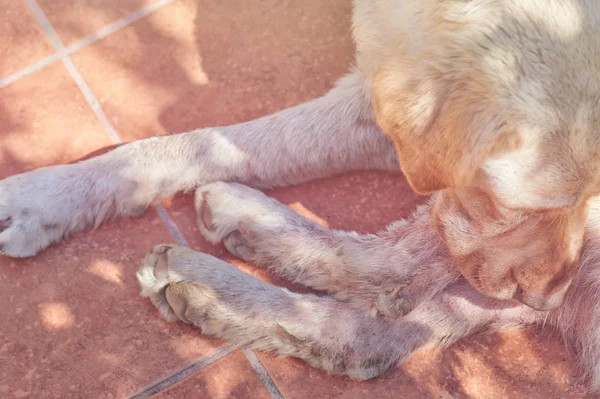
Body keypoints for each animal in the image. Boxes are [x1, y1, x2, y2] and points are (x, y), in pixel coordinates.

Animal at [1, 0, 600, 390]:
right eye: (516, 205)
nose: (545, 301)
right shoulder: (379, 99)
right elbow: (217, 141)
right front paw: (47, 197)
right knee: (371, 332)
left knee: (391, 269)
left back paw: (226, 248)